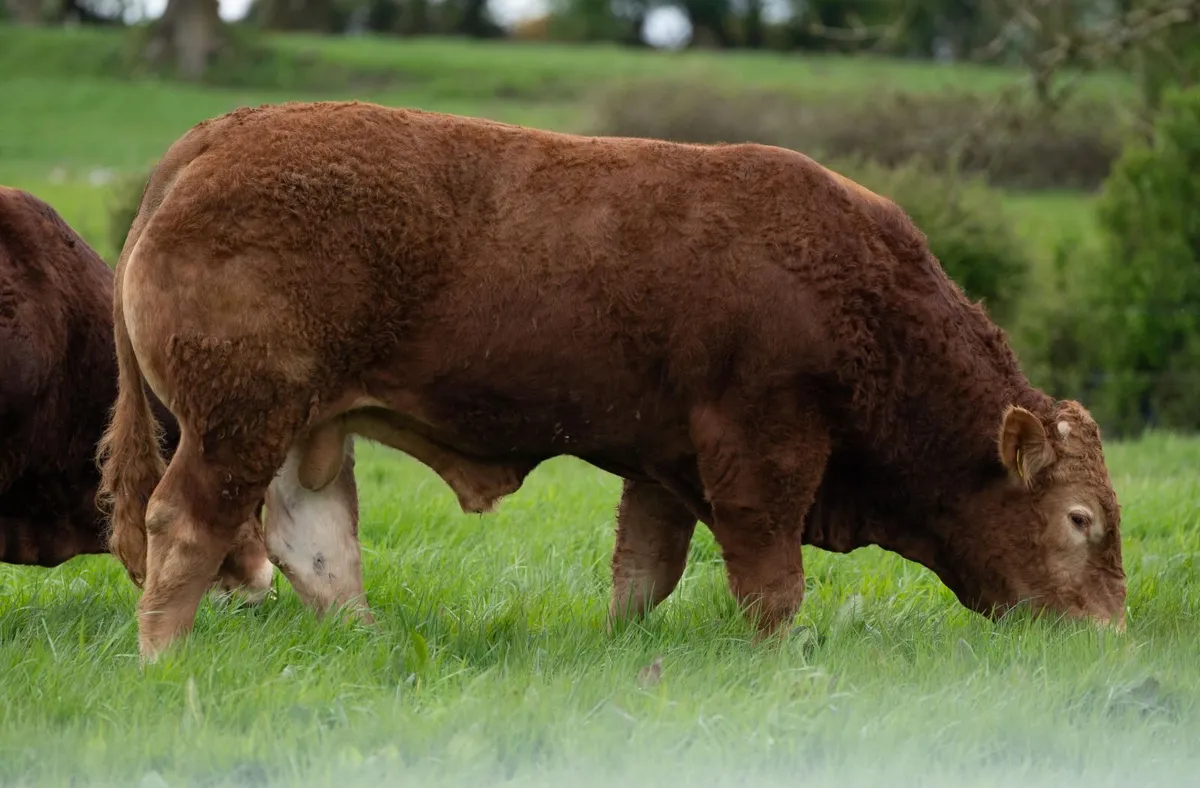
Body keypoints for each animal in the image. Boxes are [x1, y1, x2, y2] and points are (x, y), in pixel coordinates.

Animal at [96, 101, 1127, 660]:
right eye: (1080, 519)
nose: (1111, 632)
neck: (858, 294)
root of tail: (216, 140)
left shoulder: (664, 464)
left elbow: (644, 573)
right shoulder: (762, 454)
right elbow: (772, 582)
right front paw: (782, 662)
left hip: (302, 430)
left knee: (313, 548)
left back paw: (370, 646)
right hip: (238, 422)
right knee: (182, 525)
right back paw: (163, 659)